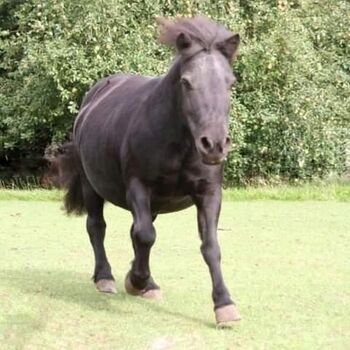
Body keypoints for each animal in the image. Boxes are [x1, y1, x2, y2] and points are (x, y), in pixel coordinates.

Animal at [51, 15, 241, 328]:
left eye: (230, 83)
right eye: (186, 82)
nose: (214, 144)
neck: (179, 142)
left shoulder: (209, 192)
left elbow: (210, 246)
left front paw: (224, 305)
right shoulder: (138, 186)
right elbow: (145, 236)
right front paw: (135, 280)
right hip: (92, 186)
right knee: (97, 227)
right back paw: (106, 278)